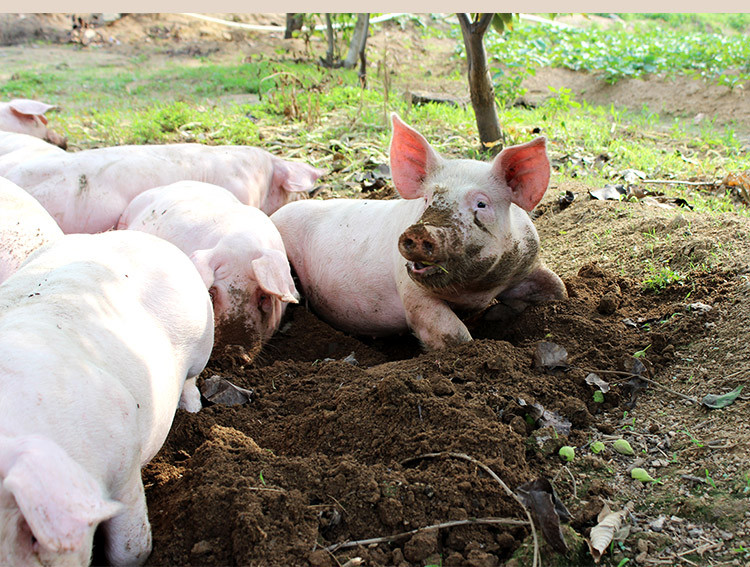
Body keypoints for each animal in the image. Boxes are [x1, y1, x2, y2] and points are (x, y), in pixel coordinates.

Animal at [0, 231, 214, 567]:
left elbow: (130, 549)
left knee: (192, 379)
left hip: (204, 337)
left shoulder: (123, 463)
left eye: (33, 535)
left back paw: (192, 409)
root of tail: (140, 236)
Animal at [274, 112, 568, 350]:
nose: (421, 230)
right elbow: (453, 335)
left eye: (481, 204)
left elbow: (559, 288)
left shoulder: (527, 262)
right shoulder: (411, 292)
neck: (474, 291)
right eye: (427, 199)